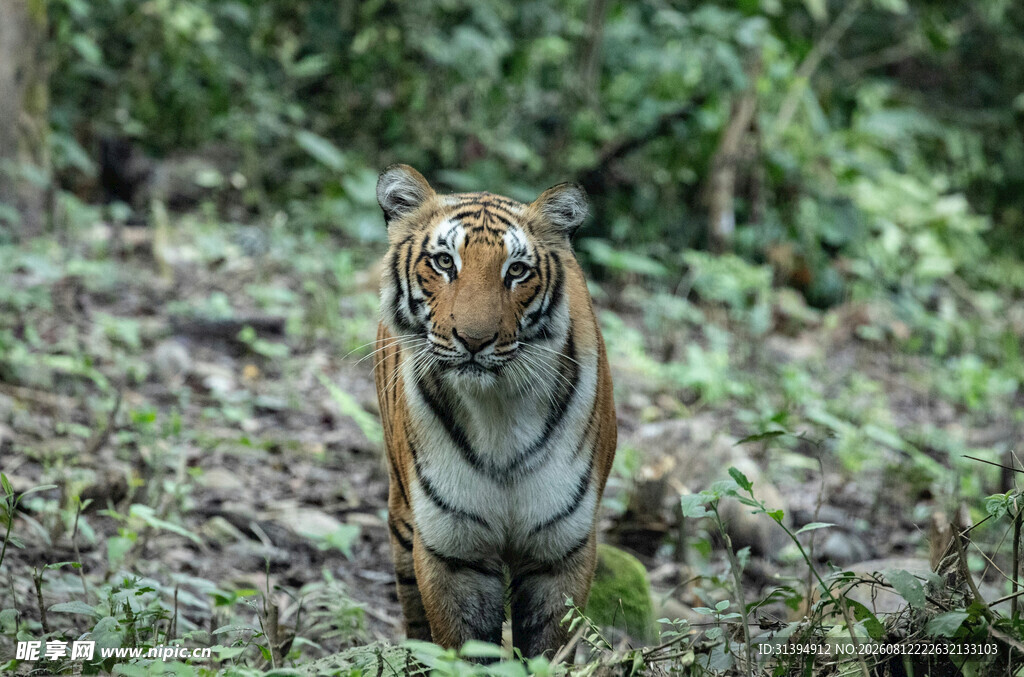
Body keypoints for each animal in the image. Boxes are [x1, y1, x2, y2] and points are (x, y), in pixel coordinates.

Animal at [372, 164, 617, 659]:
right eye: (445, 262)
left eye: (516, 270)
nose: (474, 339)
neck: (497, 412)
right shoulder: (452, 549)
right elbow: (464, 650)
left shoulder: (560, 549)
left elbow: (548, 651)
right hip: (403, 517)